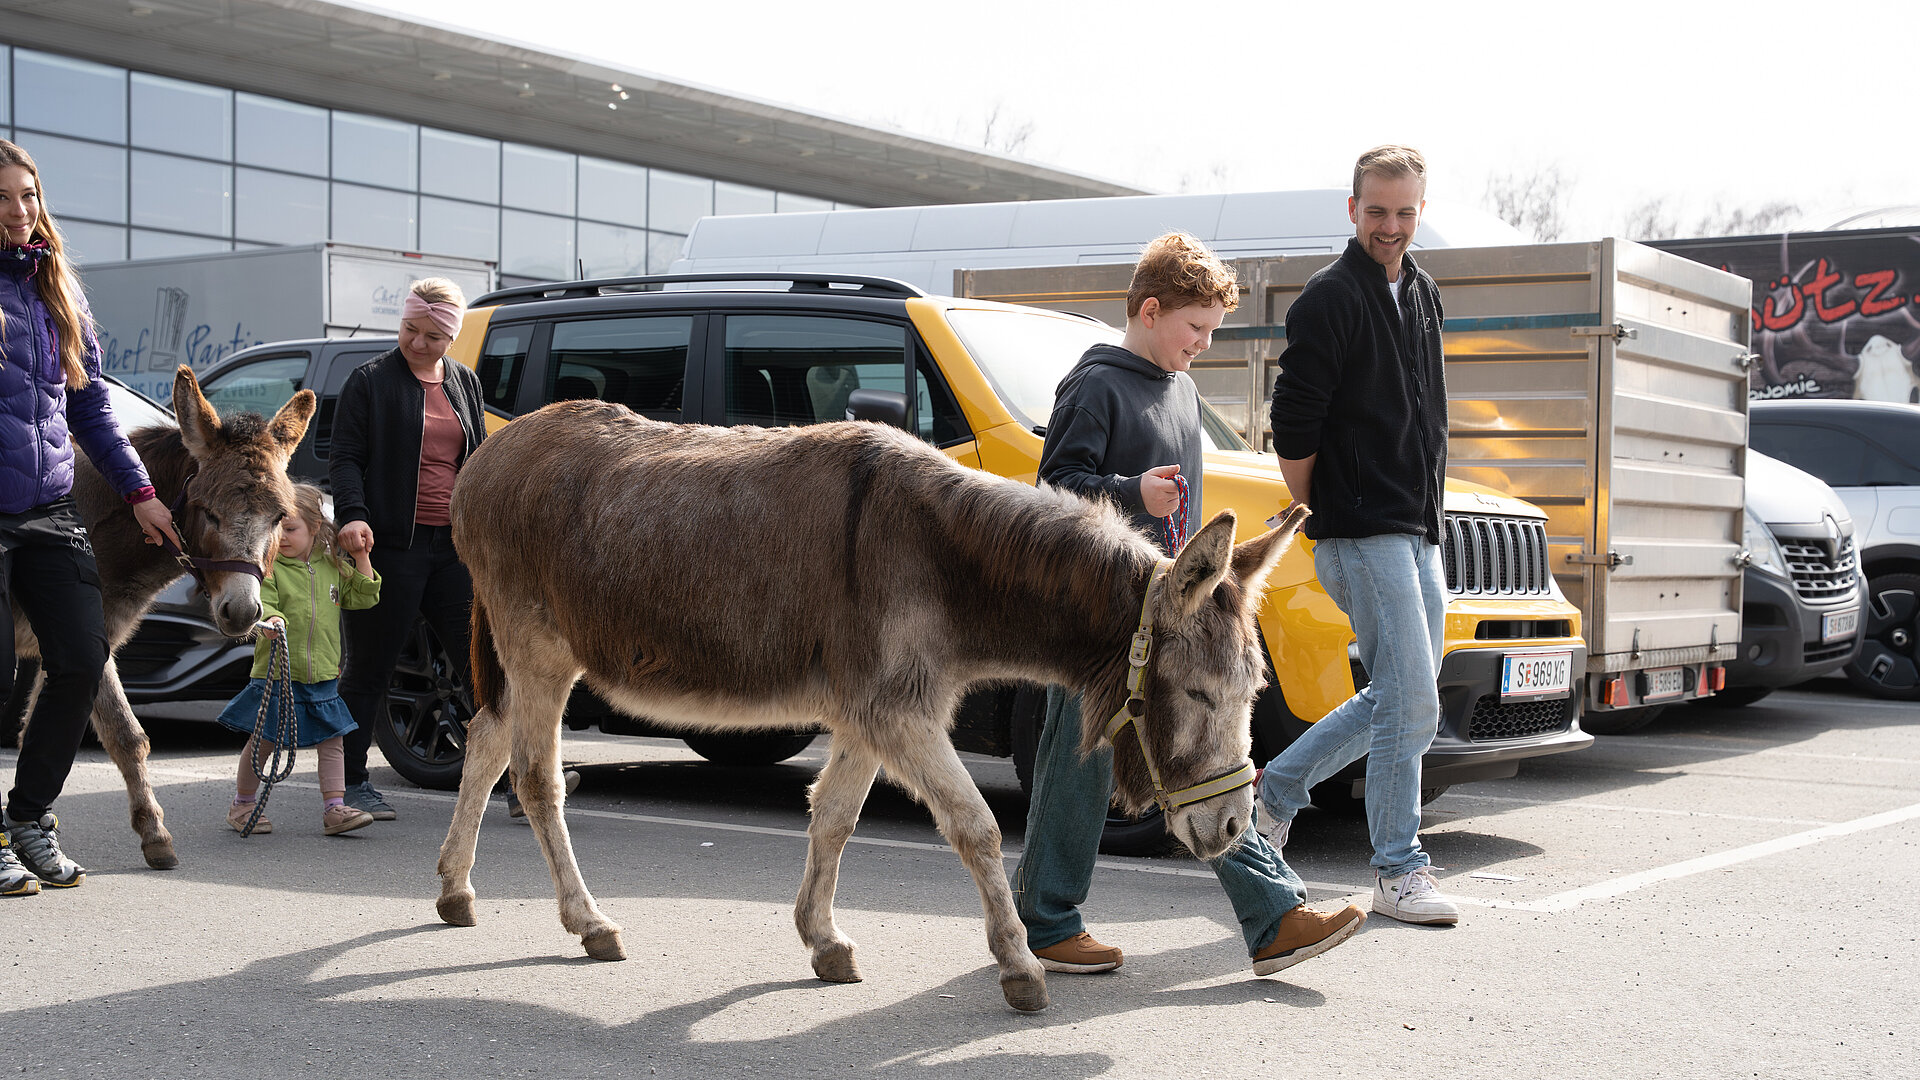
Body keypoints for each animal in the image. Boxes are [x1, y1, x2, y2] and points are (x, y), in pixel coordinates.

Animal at [9, 366, 314, 869]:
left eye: (279, 518)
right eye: (208, 513)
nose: (242, 611)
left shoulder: (82, 640)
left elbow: (65, 732)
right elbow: (116, 730)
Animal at [434, 399, 1305, 1012]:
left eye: (1253, 694)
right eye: (1198, 693)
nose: (1235, 827)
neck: (943, 557)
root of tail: (490, 454)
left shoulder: (865, 713)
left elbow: (834, 818)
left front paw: (822, 941)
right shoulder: (900, 714)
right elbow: (978, 829)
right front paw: (1019, 964)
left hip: (531, 657)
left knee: (483, 741)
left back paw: (455, 891)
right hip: (538, 648)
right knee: (537, 780)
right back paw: (587, 922)